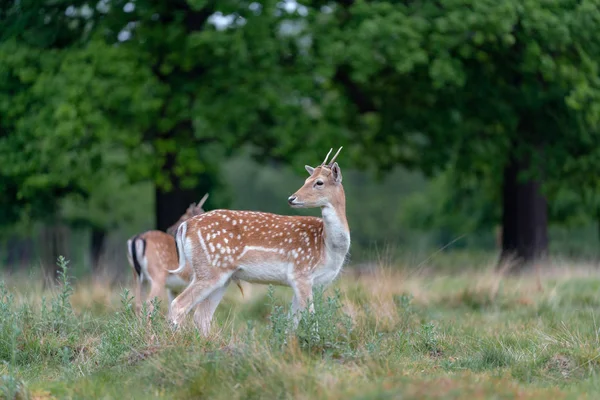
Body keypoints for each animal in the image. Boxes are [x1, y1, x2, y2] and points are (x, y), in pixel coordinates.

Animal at [168, 147, 352, 334]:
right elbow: (311, 318)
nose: (291, 199)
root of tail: (185, 226)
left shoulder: (313, 282)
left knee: (202, 315)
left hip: (223, 277)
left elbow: (292, 322)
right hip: (209, 269)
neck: (327, 248)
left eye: (319, 182)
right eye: (307, 180)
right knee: (178, 305)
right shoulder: (301, 273)